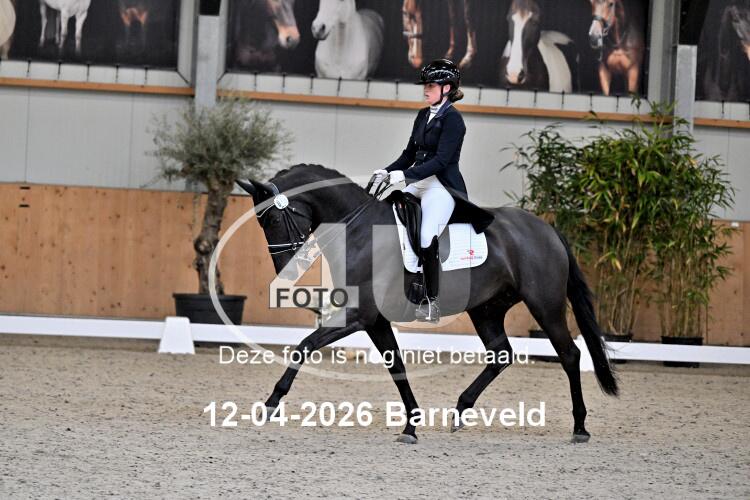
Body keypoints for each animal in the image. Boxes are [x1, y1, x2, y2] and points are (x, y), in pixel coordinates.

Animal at [237, 164, 618, 444]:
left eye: (273, 219)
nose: (285, 268)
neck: (358, 230)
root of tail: (547, 230)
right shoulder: (375, 320)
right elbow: (396, 367)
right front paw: (411, 425)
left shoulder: (358, 315)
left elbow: (304, 346)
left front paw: (270, 405)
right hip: (487, 309)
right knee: (501, 354)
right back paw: (460, 411)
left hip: (545, 305)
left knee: (569, 354)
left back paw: (580, 428)